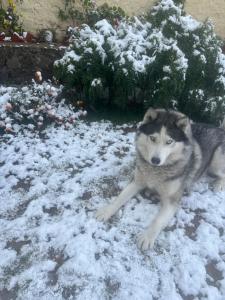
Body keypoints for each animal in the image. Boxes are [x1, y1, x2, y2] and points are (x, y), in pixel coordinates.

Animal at [95, 109, 225, 250]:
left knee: (221, 174)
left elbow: (158, 220)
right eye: (152, 138)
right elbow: (120, 198)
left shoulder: (172, 200)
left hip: (216, 161)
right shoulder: (137, 182)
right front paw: (106, 211)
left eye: (169, 141)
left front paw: (147, 237)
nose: (155, 160)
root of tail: (221, 129)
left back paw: (218, 184)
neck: (156, 171)